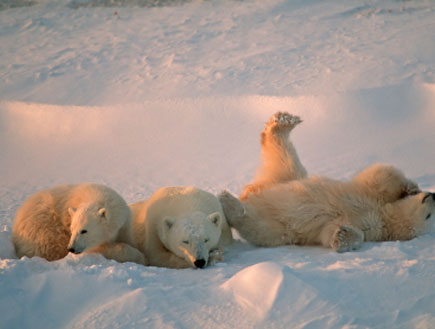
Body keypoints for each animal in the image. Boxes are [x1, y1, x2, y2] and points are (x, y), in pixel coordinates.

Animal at [11, 182, 145, 264]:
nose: (71, 248)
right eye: (72, 229)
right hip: (43, 231)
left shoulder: (123, 225)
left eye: (84, 230)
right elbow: (100, 249)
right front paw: (139, 257)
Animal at [221, 111, 435, 251]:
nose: (432, 195)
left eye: (429, 216)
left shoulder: (372, 227)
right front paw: (410, 188)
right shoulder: (368, 193)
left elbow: (333, 231)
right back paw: (284, 121)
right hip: (288, 178)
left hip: (277, 225)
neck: (384, 214)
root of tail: (251, 191)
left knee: (256, 224)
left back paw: (229, 202)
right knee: (285, 158)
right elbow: (381, 175)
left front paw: (342, 236)